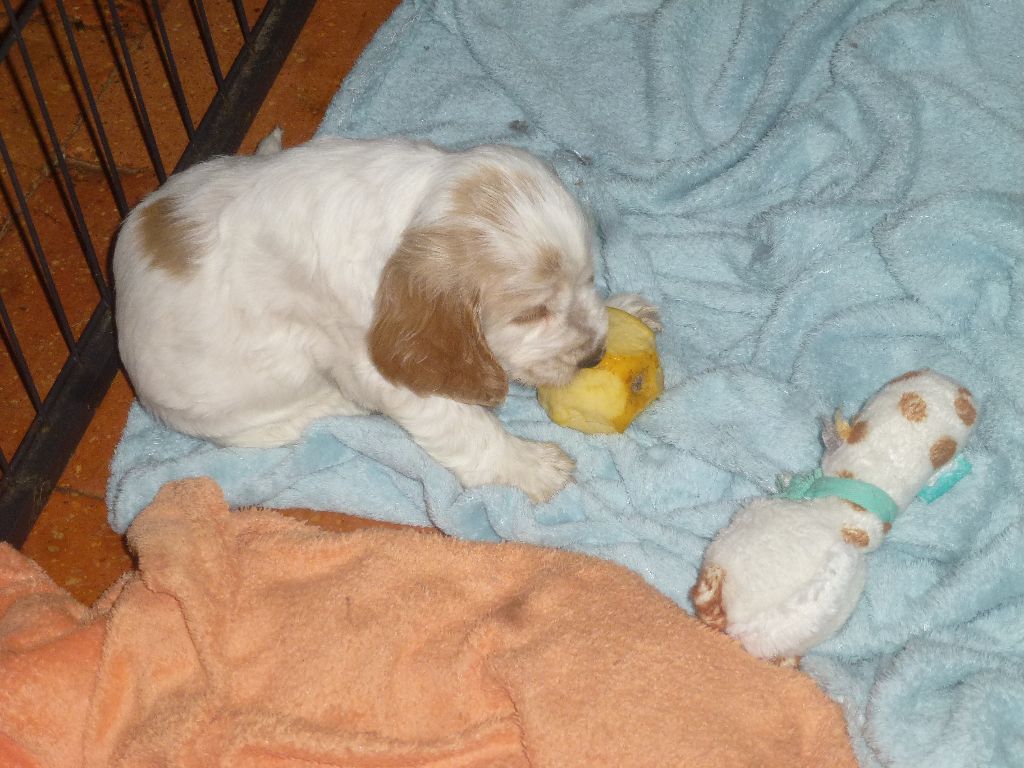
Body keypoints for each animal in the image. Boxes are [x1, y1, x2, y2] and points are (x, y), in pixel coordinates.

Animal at [113, 133, 658, 502]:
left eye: (590, 278)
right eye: (532, 313)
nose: (595, 356)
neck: (410, 216)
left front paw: (626, 310)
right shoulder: (378, 366)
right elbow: (466, 425)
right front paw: (533, 466)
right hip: (246, 417)